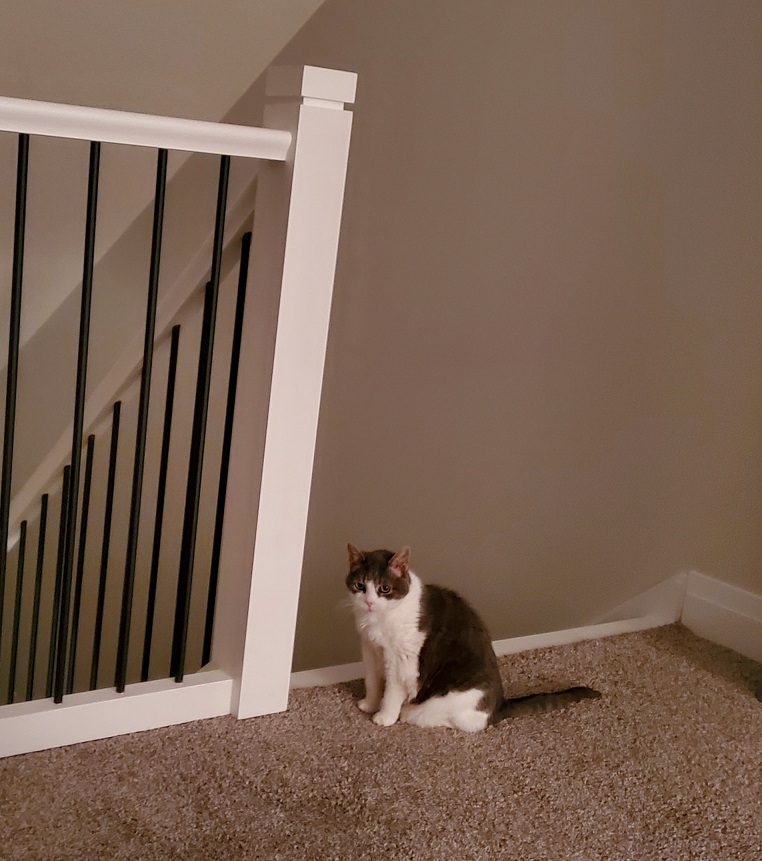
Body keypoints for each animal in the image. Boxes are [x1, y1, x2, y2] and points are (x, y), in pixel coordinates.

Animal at [344, 540, 600, 728]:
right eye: (360, 586)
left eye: (384, 589)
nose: (369, 602)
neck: (377, 622)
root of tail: (499, 705)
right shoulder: (370, 649)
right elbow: (372, 681)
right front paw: (369, 704)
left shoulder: (400, 660)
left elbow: (391, 691)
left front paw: (384, 716)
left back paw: (407, 711)